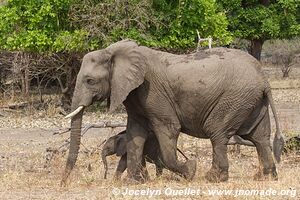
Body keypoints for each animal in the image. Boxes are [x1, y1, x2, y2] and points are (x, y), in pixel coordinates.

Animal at [61, 39, 284, 185]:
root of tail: (263, 77)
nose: (64, 183)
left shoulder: (153, 92)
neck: (114, 51)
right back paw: (265, 177)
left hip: (234, 99)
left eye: (90, 81)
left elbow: (169, 129)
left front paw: (190, 170)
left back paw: (213, 178)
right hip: (251, 101)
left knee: (218, 133)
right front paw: (134, 182)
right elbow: (135, 134)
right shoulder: (134, 94)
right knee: (259, 137)